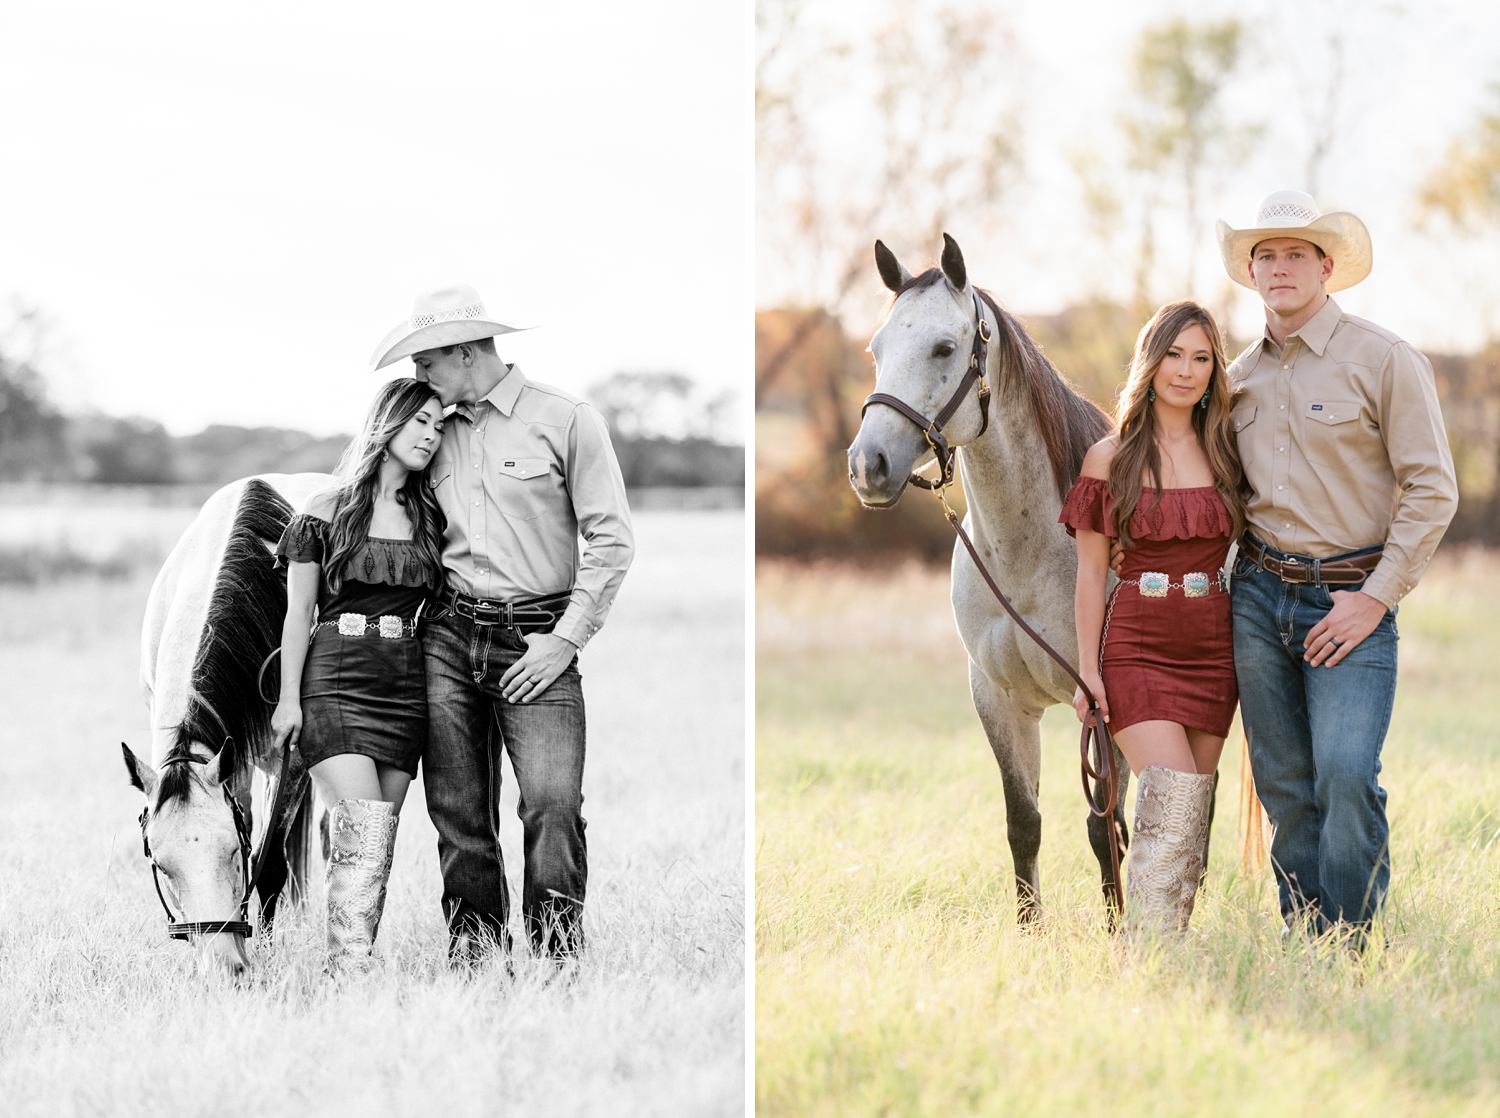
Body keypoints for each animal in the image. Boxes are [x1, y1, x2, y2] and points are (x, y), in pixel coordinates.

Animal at [852, 231, 1128, 918]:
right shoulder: (1000, 702)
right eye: (875, 349)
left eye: (945, 348)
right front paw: (1030, 929)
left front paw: (1122, 929)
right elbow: (1023, 824)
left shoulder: (1106, 708)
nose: (868, 465)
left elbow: (1105, 828)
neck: (1031, 554)